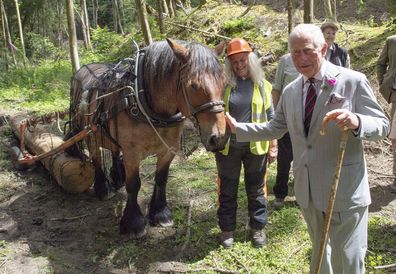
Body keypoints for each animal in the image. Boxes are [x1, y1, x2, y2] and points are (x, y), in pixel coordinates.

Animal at [65, 38, 229, 238]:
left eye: (224, 82)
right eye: (193, 85)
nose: (218, 137)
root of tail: (82, 69)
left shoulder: (168, 150)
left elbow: (161, 179)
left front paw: (160, 212)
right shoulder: (132, 154)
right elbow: (134, 184)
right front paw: (133, 222)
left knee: (114, 150)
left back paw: (117, 177)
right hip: (90, 133)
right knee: (96, 158)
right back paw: (103, 188)